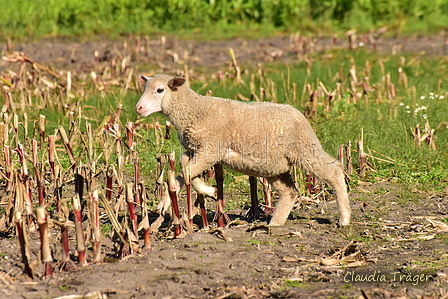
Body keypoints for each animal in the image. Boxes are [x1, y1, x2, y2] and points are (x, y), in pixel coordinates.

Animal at [135, 74, 352, 226]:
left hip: (305, 148)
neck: (194, 110)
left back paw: (344, 218)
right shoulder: (198, 149)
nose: (138, 108)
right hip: (273, 166)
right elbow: (184, 165)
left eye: (160, 90)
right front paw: (208, 190)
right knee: (290, 192)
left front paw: (167, 202)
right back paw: (274, 224)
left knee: (334, 170)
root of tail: (300, 115)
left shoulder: (211, 149)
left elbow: (185, 170)